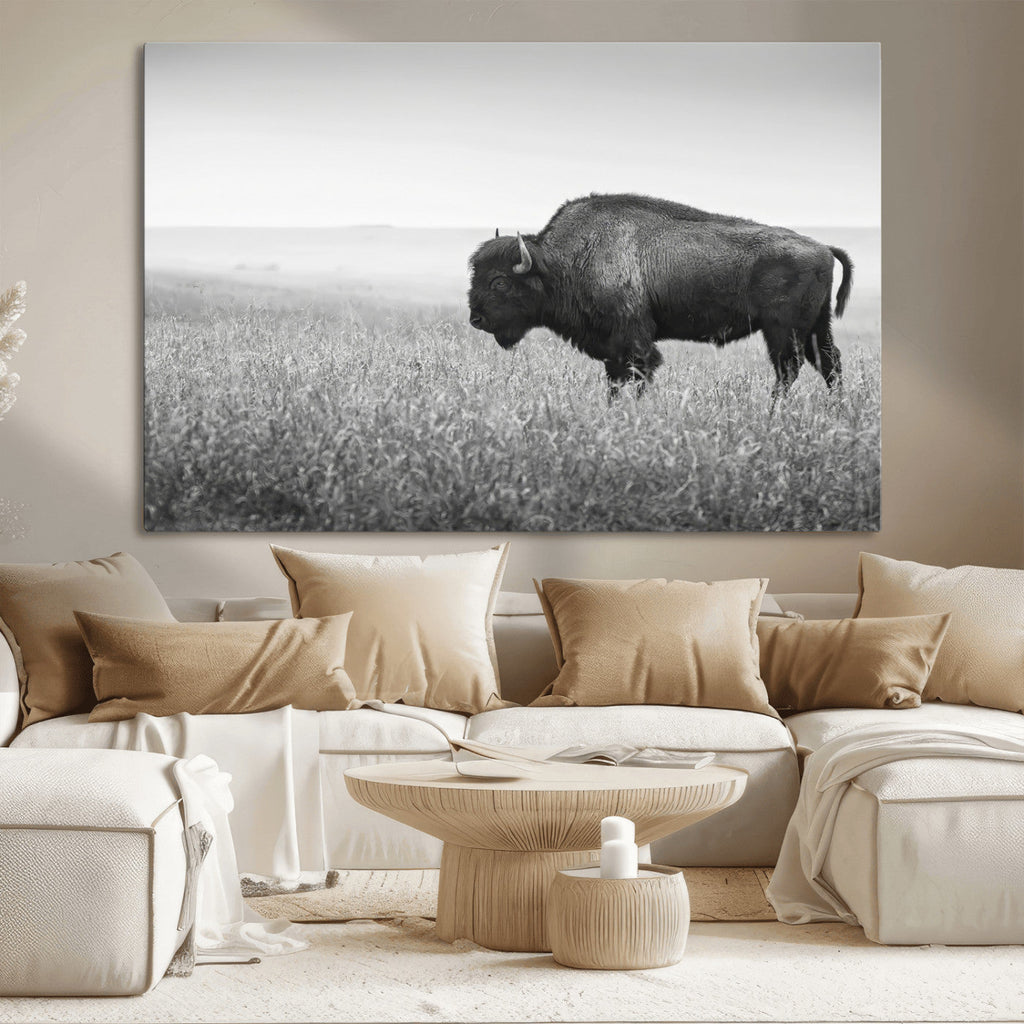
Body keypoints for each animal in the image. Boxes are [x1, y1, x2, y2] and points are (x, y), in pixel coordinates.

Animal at [468, 193, 852, 404]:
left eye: (499, 281)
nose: (476, 319)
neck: (563, 261)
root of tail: (823, 248)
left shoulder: (634, 340)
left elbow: (639, 374)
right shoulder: (612, 347)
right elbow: (615, 379)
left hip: (782, 329)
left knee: (789, 368)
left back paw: (772, 412)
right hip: (816, 325)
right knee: (829, 363)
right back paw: (836, 411)